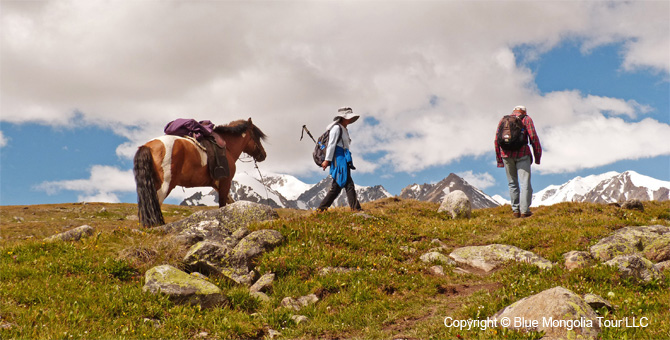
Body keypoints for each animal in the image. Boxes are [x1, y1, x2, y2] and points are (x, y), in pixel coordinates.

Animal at [133, 118, 266, 227]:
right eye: (257, 136)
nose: (263, 155)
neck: (227, 148)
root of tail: (147, 146)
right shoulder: (225, 182)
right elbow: (222, 205)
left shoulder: (217, 185)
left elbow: (229, 202)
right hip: (164, 186)